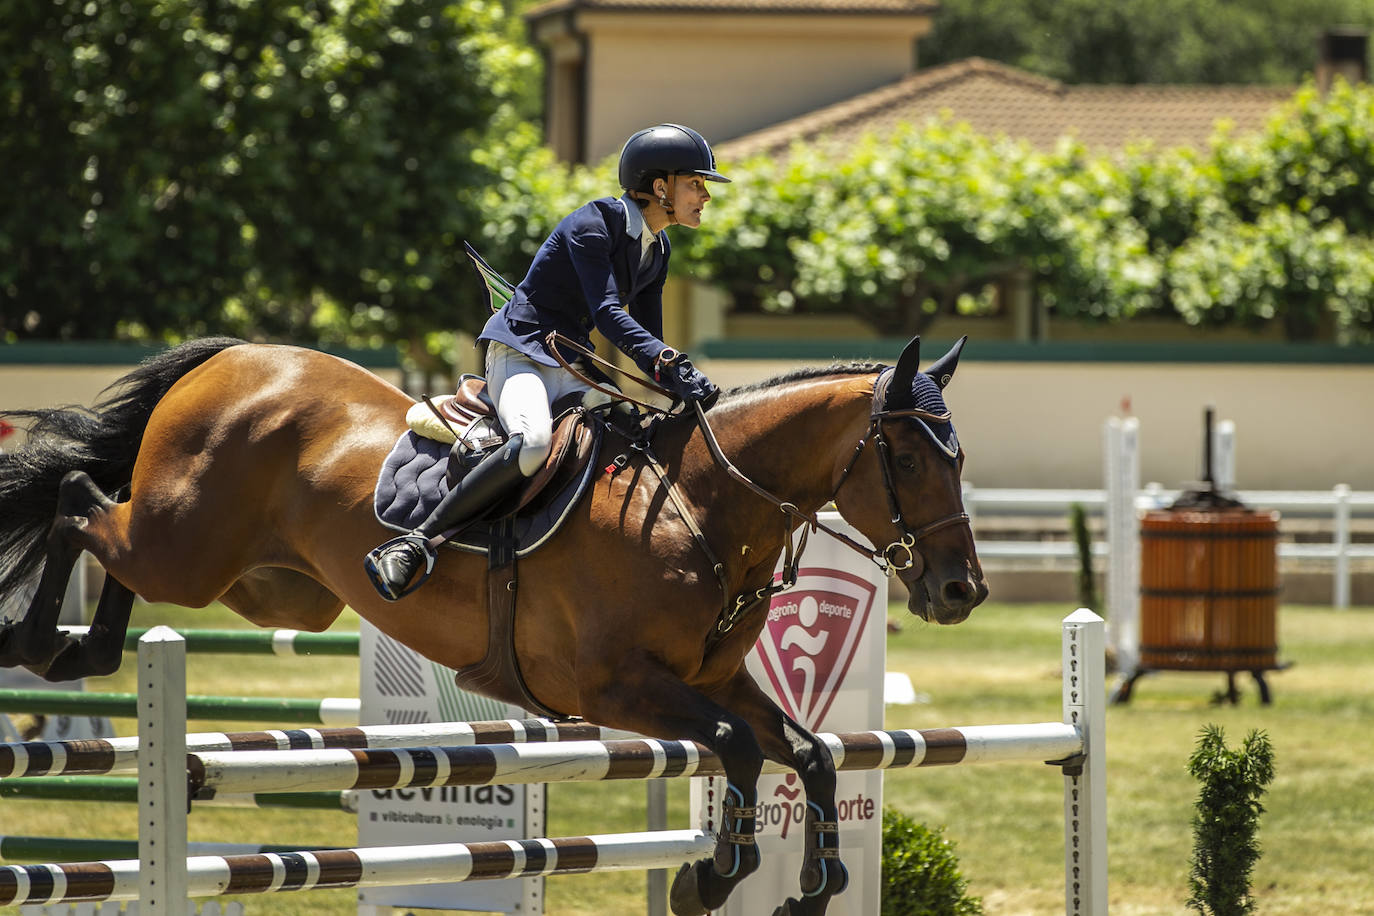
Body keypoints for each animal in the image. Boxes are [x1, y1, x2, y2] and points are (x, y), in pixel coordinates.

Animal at [0, 333, 989, 911]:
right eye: (906, 456)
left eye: (959, 454)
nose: (961, 592)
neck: (702, 506)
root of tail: (235, 356)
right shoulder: (614, 687)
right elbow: (738, 750)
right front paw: (707, 879)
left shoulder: (717, 682)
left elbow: (812, 755)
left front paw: (814, 887)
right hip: (188, 546)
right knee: (79, 500)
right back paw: (37, 641)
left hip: (271, 586)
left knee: (105, 527)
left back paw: (79, 647)